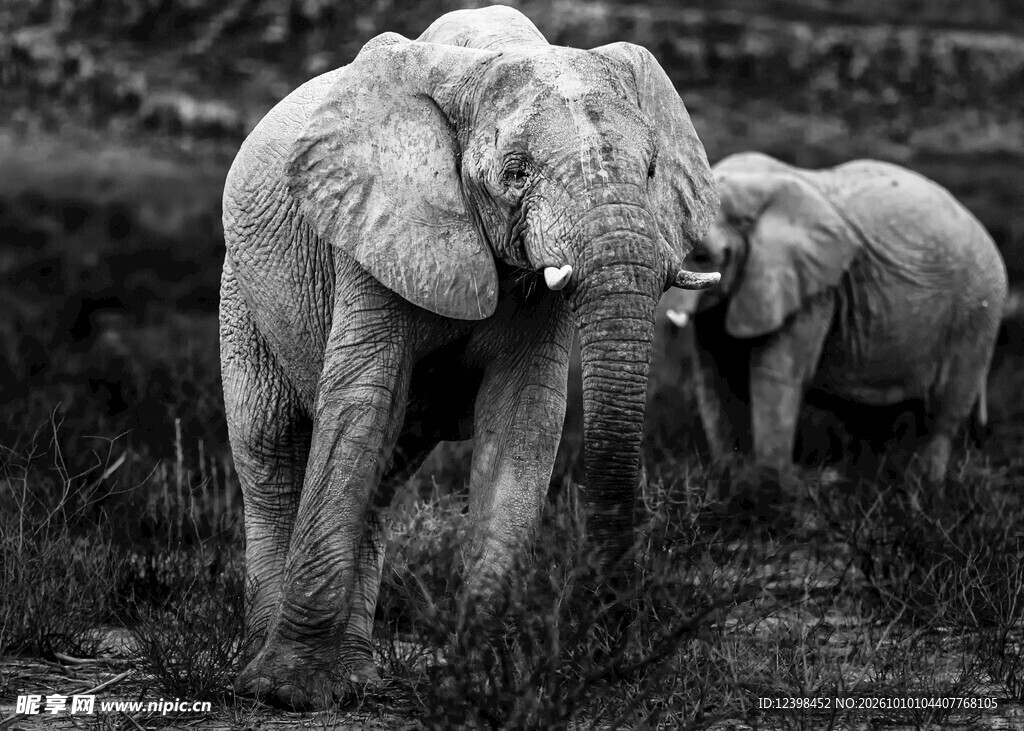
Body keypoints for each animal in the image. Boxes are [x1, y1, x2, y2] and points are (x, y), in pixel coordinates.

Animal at [219, 6, 719, 709]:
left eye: (650, 171)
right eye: (515, 172)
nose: (615, 651)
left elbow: (523, 418)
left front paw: (483, 684)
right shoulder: (375, 223)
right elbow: (361, 402)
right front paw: (287, 692)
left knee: (385, 471)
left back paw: (357, 678)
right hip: (243, 292)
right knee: (269, 449)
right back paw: (269, 672)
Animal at [662, 152, 1007, 484]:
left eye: (702, 256)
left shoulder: (814, 288)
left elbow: (774, 374)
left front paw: (770, 489)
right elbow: (714, 375)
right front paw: (730, 479)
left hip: (976, 313)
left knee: (943, 412)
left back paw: (923, 487)